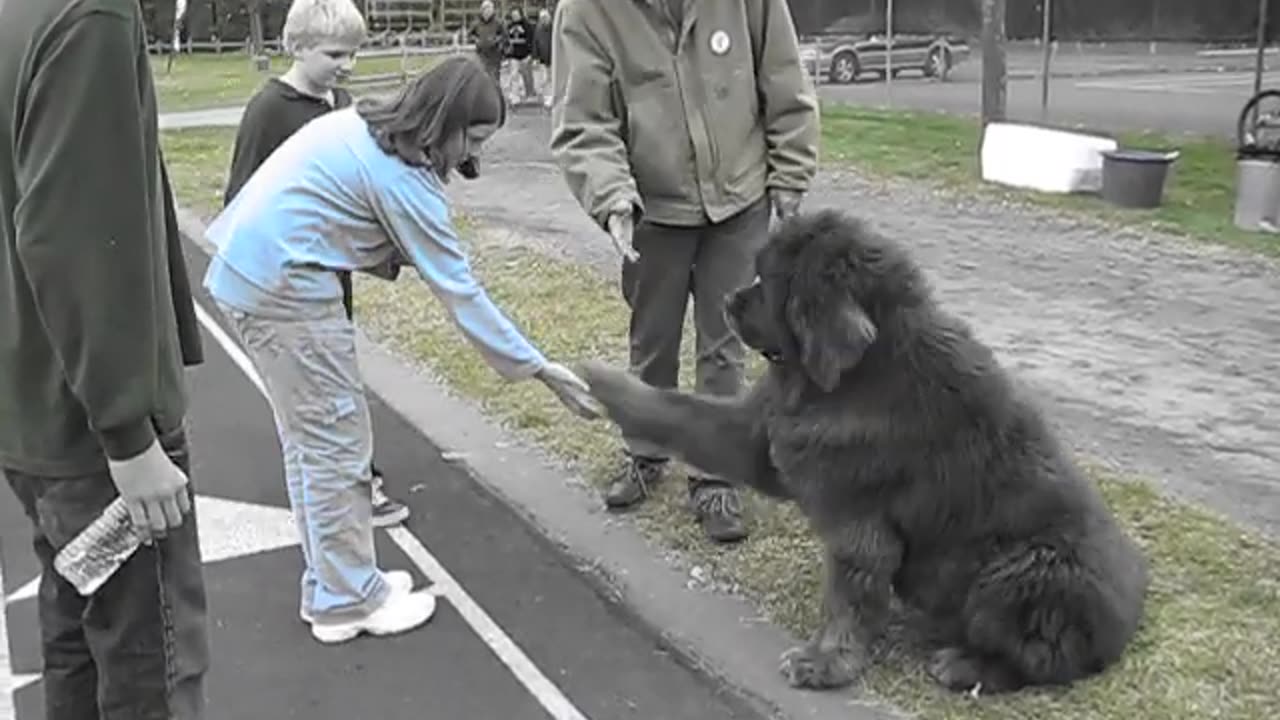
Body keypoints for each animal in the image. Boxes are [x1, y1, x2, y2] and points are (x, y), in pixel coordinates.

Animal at [581, 210, 1152, 691]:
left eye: (769, 280)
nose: (728, 301)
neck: (855, 375)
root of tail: (1130, 617)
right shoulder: (758, 435)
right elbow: (678, 411)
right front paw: (606, 382)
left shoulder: (857, 521)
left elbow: (848, 598)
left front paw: (825, 663)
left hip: (1027, 572)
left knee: (1041, 660)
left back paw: (966, 666)